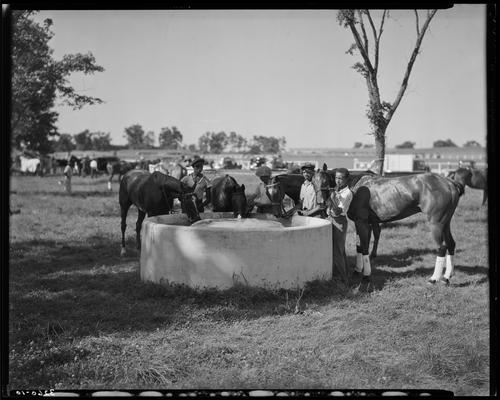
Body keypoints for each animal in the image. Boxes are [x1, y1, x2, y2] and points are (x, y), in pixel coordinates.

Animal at [316, 167, 464, 286]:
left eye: (325, 181)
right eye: (313, 182)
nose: (321, 203)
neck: (356, 187)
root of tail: (449, 182)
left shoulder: (362, 222)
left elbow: (365, 248)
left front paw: (366, 275)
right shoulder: (363, 223)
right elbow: (359, 247)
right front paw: (357, 270)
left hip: (436, 223)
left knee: (442, 247)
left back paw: (434, 279)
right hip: (445, 222)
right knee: (451, 244)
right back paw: (446, 277)